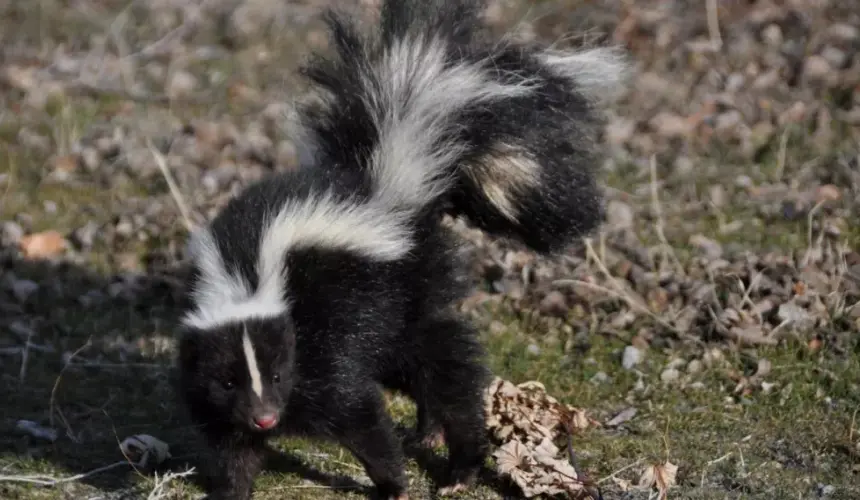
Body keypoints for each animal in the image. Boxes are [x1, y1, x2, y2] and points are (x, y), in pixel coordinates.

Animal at [176, 0, 632, 500]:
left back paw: (460, 463)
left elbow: (358, 413)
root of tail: (391, 186)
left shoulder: (323, 345)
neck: (247, 278)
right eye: (228, 380)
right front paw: (233, 486)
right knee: (417, 369)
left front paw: (393, 484)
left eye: (278, 374)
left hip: (405, 294)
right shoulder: (214, 389)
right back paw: (428, 432)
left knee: (445, 367)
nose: (266, 417)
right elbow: (231, 445)